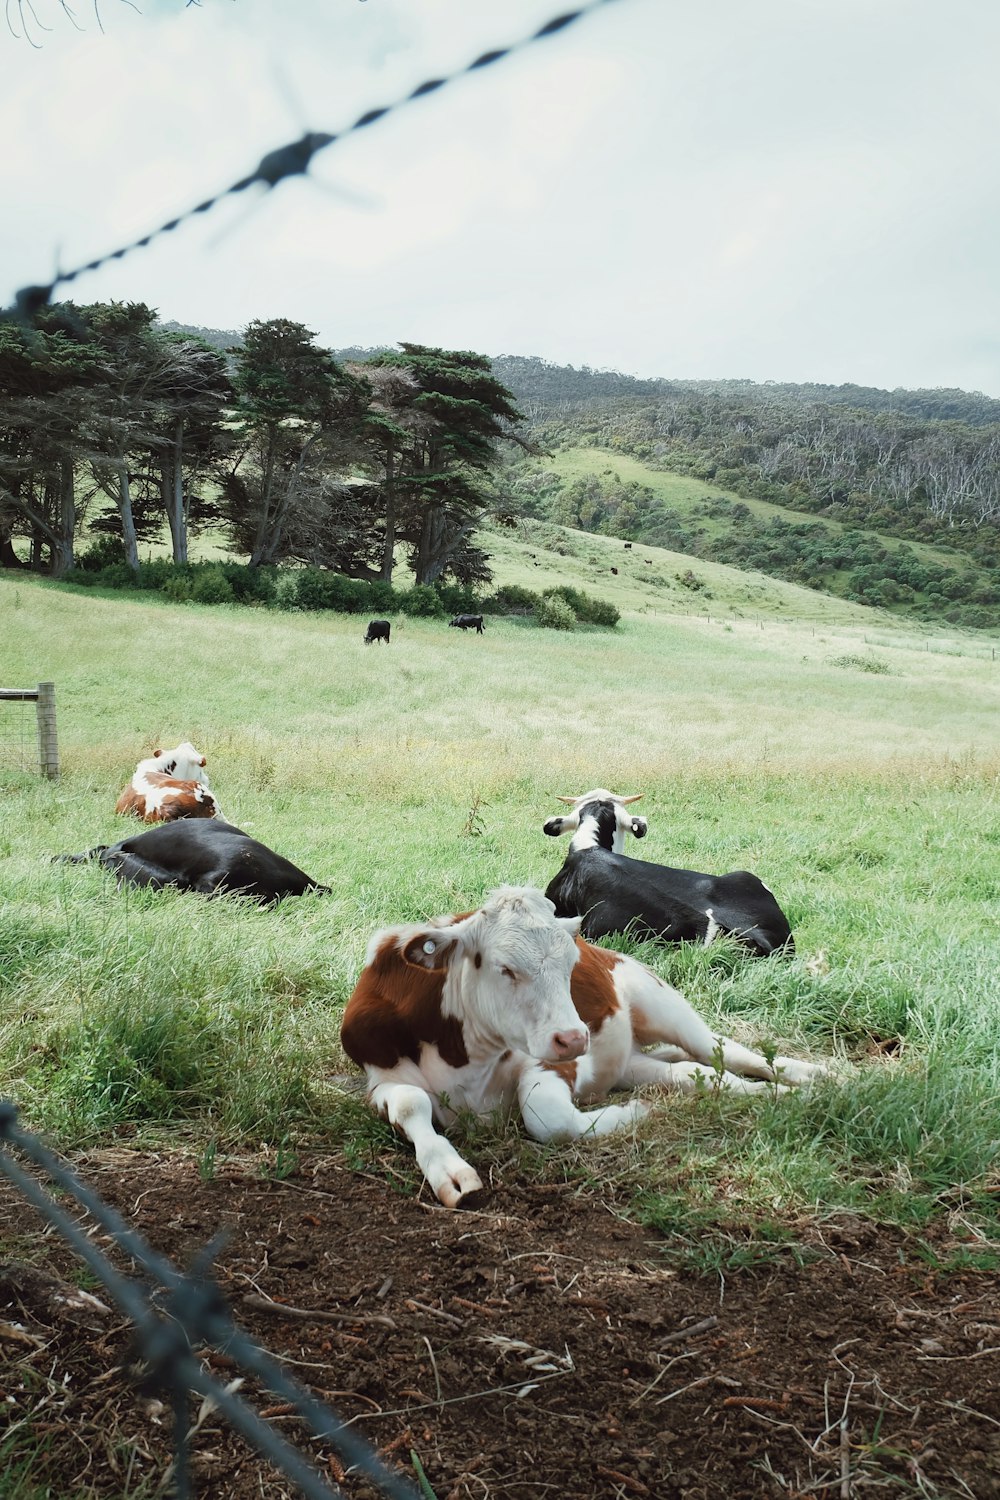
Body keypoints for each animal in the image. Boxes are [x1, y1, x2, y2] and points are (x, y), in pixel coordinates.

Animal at [340, 882, 827, 1212]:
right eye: (504, 968)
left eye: (572, 964)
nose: (575, 1037)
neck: (463, 1059)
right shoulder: (381, 1077)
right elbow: (411, 1104)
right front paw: (448, 1169)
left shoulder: (557, 1064)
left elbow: (548, 1119)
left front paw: (634, 1112)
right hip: (633, 1062)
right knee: (695, 1075)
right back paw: (781, 1094)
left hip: (659, 1000)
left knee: (724, 1051)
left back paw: (809, 1076)